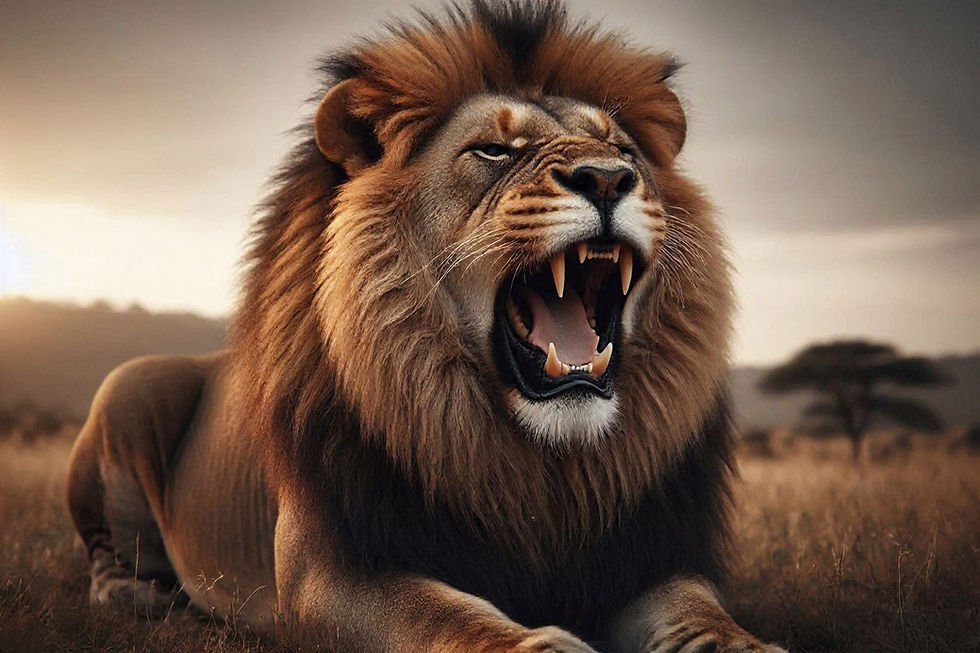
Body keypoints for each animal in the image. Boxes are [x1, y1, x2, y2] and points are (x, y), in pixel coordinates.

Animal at [65, 2, 786, 651]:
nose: (609, 177)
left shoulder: (649, 555)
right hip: (130, 385)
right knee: (106, 547)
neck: (544, 466)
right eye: (493, 150)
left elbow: (698, 610)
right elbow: (444, 616)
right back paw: (133, 594)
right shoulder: (327, 572)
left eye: (622, 148)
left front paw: (739, 643)